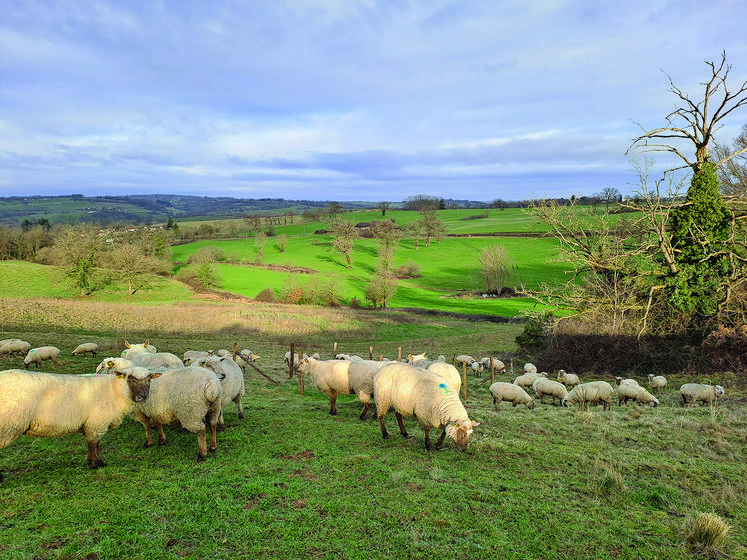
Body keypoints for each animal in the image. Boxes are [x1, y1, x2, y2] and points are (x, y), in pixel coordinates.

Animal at [0, 364, 156, 472]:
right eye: (131, 380)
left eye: (149, 380)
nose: (143, 396)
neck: (114, 390)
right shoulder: (96, 423)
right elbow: (94, 443)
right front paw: (98, 463)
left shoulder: (89, 423)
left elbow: (90, 443)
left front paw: (89, 461)